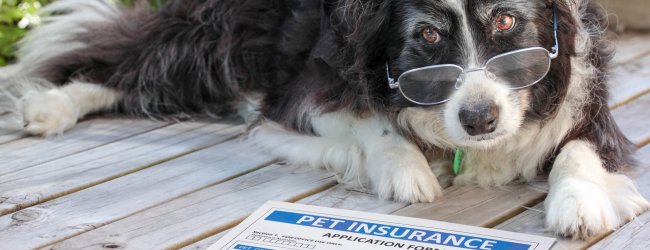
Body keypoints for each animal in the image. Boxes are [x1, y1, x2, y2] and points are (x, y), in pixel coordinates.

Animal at [1, 0, 648, 239]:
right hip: (214, 38)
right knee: (133, 57)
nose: (480, 119)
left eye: (508, 23)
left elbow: (581, 148)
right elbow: (369, 119)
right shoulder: (303, 90)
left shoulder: (589, 103)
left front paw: (579, 203)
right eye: (428, 36)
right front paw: (405, 170)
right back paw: (50, 107)